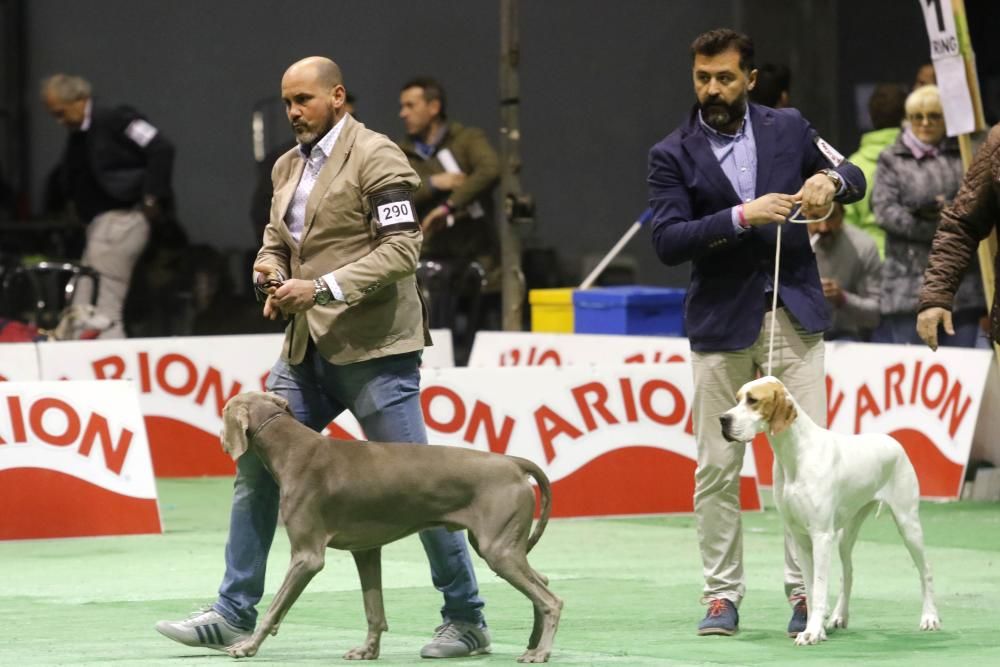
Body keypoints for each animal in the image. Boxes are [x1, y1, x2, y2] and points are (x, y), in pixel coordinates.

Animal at [220, 392, 564, 664]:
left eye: (223, 410)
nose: (222, 439)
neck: (291, 445)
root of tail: (514, 462)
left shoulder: (307, 556)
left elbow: (274, 607)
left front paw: (247, 646)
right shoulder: (366, 550)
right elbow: (374, 610)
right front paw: (367, 651)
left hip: (498, 549)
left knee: (551, 600)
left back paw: (540, 652)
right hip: (497, 545)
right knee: (543, 581)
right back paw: (532, 644)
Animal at [720, 378, 936, 644]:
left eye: (753, 400)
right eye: (737, 398)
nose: (723, 419)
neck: (796, 454)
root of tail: (894, 441)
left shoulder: (821, 536)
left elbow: (821, 587)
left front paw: (812, 632)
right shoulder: (801, 539)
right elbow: (812, 590)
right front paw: (815, 629)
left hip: (908, 524)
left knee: (926, 571)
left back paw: (930, 617)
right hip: (846, 533)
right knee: (848, 573)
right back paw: (839, 616)